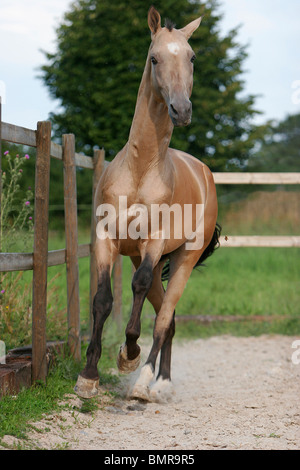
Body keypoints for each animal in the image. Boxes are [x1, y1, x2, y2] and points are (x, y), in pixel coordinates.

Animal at [75, 5, 220, 402]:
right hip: (157, 265)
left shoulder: (152, 244)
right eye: (154, 58)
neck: (139, 171)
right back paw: (160, 381)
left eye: (192, 57)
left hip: (183, 258)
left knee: (164, 318)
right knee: (167, 319)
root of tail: (204, 173)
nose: (181, 110)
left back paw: (146, 383)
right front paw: (88, 377)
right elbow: (102, 300)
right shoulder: (106, 238)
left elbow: (136, 288)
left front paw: (128, 355)